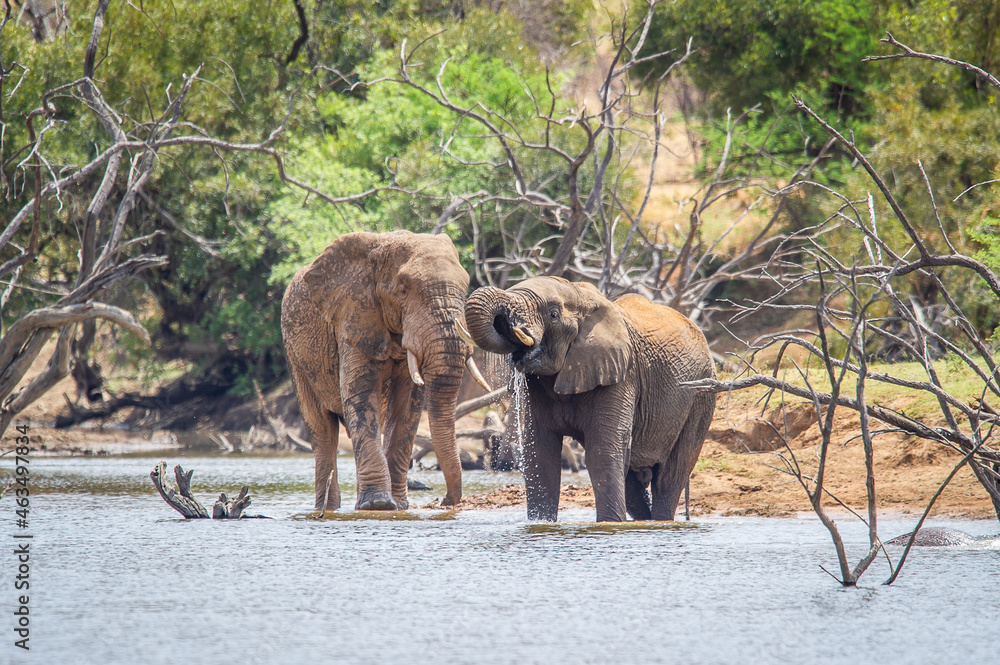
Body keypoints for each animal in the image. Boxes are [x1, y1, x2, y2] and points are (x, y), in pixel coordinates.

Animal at [281, 230, 491, 511]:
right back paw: (330, 508)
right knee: (322, 429)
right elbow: (361, 395)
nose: (446, 501)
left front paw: (399, 506)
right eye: (403, 289)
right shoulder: (353, 317)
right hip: (295, 356)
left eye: (466, 286)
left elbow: (407, 407)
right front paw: (378, 505)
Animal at [464, 276, 716, 522]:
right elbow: (541, 454)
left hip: (701, 394)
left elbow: (602, 451)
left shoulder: (621, 374)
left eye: (553, 314)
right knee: (632, 482)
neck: (583, 298)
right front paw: (540, 524)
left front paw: (609, 524)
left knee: (670, 475)